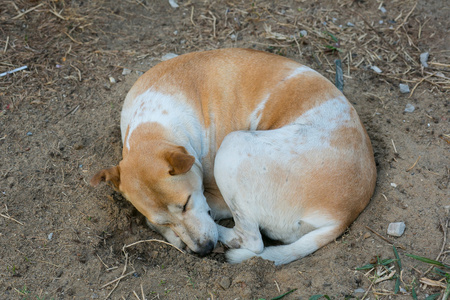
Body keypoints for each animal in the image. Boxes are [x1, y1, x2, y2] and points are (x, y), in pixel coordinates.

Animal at [91, 48, 376, 264]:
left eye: (185, 203)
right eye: (166, 219)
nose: (204, 250)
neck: (154, 123)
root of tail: (344, 216)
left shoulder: (215, 197)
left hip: (233, 146)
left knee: (252, 242)